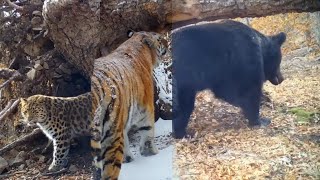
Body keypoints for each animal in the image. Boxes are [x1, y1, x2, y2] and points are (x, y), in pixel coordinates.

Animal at [90, 30, 168, 179]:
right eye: (160, 39)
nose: (167, 43)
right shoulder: (146, 108)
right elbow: (148, 131)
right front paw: (150, 152)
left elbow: (126, 138)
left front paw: (128, 158)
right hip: (110, 134)